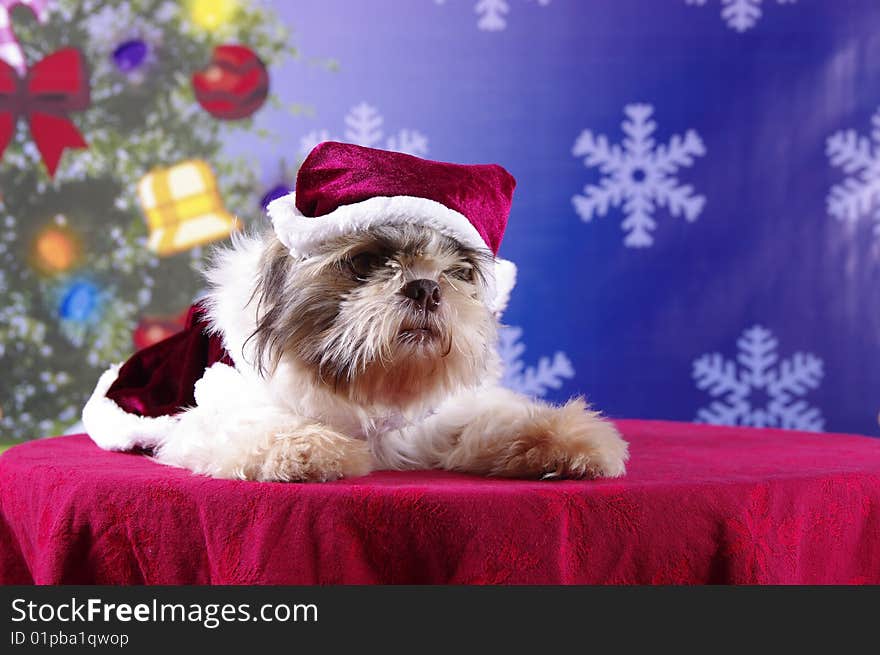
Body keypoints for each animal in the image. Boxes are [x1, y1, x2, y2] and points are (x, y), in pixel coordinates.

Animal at [82, 142, 628, 482]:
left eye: (459, 271)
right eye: (366, 262)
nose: (425, 288)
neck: (369, 392)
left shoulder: (434, 423)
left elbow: (497, 421)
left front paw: (565, 441)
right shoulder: (213, 414)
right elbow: (260, 427)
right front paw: (308, 448)